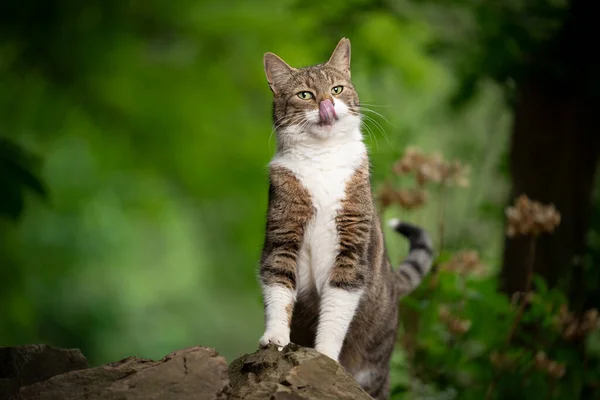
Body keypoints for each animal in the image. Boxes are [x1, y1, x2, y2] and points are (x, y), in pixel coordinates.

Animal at [260, 38, 434, 400]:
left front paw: (325, 356)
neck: (322, 158)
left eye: (337, 89)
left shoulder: (352, 244)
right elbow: (278, 285)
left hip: (375, 367)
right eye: (305, 94)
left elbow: (337, 307)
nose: (327, 103)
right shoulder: (283, 231)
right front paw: (275, 338)